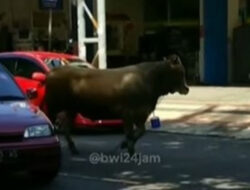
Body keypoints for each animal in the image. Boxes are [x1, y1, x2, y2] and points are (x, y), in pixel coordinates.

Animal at [45, 54, 189, 155]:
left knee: (66, 128)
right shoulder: (129, 113)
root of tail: (53, 71)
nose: (187, 89)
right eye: (180, 72)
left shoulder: (141, 114)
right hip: (53, 106)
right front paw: (130, 150)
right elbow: (131, 133)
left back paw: (74, 149)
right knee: (54, 123)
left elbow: (140, 131)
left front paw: (126, 145)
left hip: (72, 109)